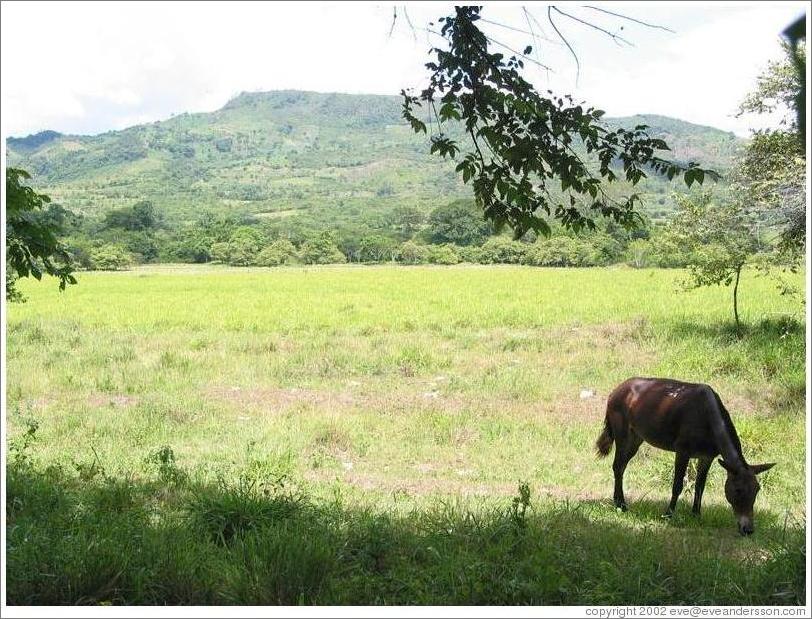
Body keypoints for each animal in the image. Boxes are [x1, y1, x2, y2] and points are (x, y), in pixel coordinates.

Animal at [595, 377, 775, 535]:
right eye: (738, 490)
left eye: (757, 490)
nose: (748, 530)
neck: (708, 419)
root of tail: (615, 391)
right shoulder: (682, 450)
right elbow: (677, 485)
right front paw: (668, 514)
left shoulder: (707, 456)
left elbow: (700, 486)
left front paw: (696, 514)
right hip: (622, 433)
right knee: (618, 466)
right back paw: (621, 504)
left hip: (636, 437)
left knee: (621, 466)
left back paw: (619, 502)